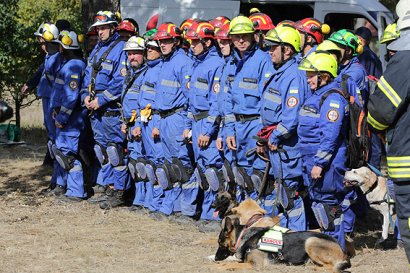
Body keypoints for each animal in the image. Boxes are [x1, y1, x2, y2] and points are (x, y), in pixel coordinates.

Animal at [213, 198, 350, 272]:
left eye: (220, 243)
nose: (215, 258)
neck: (242, 235)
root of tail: (343, 251)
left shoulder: (256, 265)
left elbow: (231, 263)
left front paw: (220, 265)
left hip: (311, 241)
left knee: (331, 268)